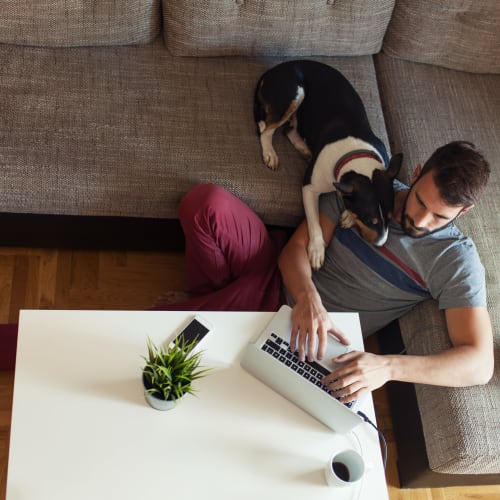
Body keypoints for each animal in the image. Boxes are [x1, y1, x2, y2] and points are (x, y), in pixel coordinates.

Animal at [254, 61, 402, 272]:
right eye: (369, 220)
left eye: (390, 218)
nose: (380, 244)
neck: (356, 156)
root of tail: (277, 68)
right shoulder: (308, 188)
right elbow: (314, 221)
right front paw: (317, 250)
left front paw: (348, 216)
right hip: (295, 93)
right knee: (267, 130)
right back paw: (270, 153)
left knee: (289, 130)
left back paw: (304, 148)